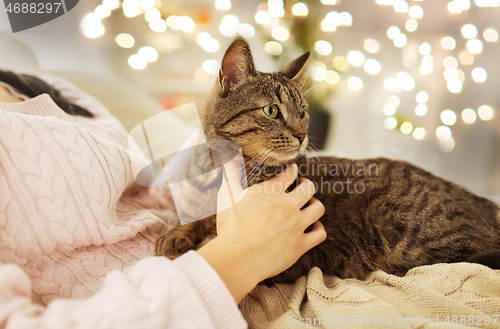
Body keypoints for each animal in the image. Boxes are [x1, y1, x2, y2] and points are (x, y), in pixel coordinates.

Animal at [154, 35, 498, 282]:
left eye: (302, 111)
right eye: (272, 110)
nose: (302, 134)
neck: (219, 173)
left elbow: (213, 240)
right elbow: (192, 220)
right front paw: (177, 234)